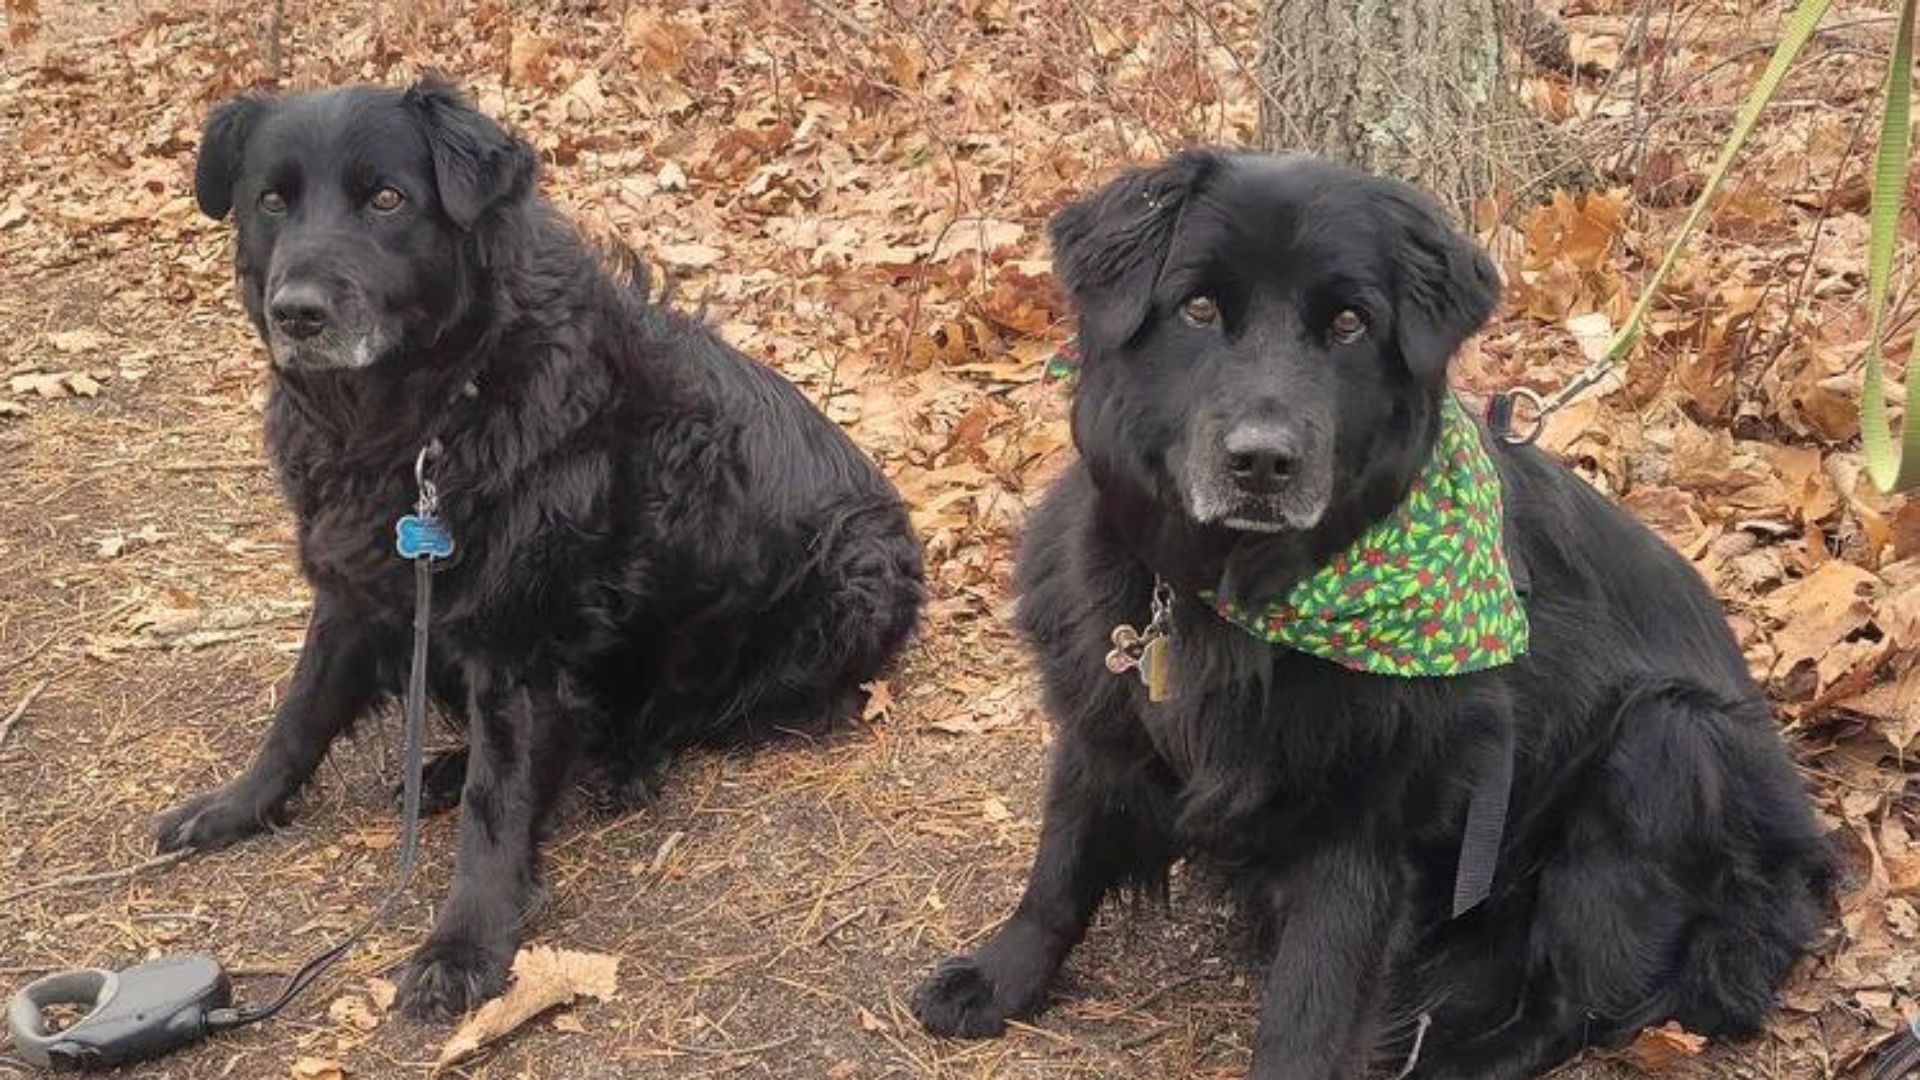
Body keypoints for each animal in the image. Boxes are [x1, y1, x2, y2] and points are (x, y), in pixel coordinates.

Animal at [157, 79, 921, 1014]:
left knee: (687, 716)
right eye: (272, 200)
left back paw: (614, 759)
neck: (433, 413)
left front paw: (465, 944)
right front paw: (236, 807)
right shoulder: (355, 591)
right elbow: (298, 715)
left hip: (848, 583)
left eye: (387, 199)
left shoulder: (519, 645)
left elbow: (497, 811)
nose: (296, 312)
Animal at [913, 151, 1827, 1076]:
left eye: (1349, 324)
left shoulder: (1368, 832)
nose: (1262, 464)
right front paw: (999, 977)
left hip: (1667, 741)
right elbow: (1059, 866)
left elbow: (1309, 1013)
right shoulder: (1104, 721)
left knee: (1568, 1005)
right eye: (1199, 308)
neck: (1244, 597)